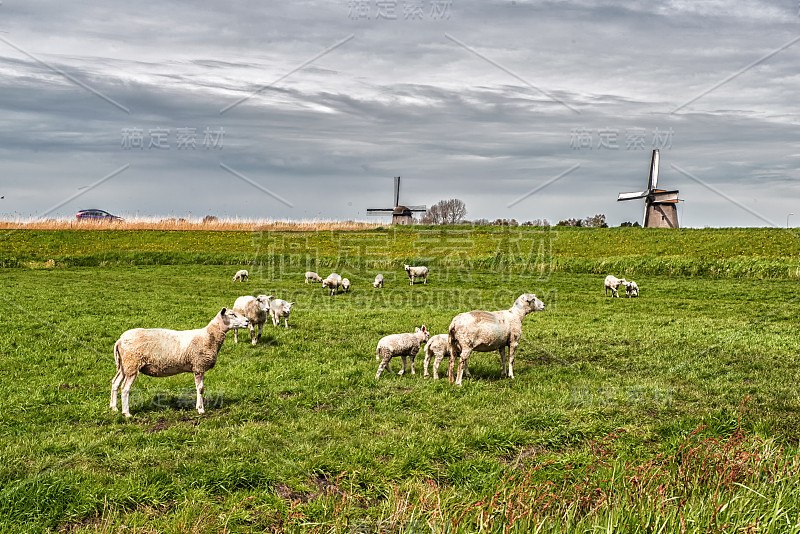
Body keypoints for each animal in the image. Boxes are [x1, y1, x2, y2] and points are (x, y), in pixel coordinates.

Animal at [109, 310, 247, 418]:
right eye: (232, 314)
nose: (247, 321)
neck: (209, 337)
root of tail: (120, 340)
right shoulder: (199, 365)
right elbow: (200, 388)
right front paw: (201, 409)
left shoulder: (197, 366)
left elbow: (198, 388)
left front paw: (198, 407)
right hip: (133, 363)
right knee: (125, 388)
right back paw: (126, 413)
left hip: (124, 365)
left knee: (115, 383)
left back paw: (114, 408)